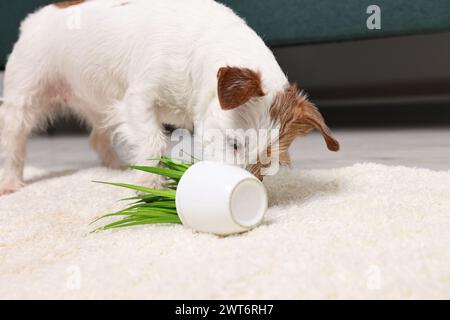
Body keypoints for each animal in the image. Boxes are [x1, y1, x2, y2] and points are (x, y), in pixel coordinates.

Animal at [0, 0, 338, 195]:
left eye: (270, 161)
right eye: (234, 144)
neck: (201, 44)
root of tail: (34, 18)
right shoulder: (138, 99)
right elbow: (153, 140)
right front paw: (150, 183)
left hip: (101, 102)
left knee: (98, 137)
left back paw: (116, 167)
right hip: (25, 95)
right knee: (14, 138)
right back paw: (11, 181)